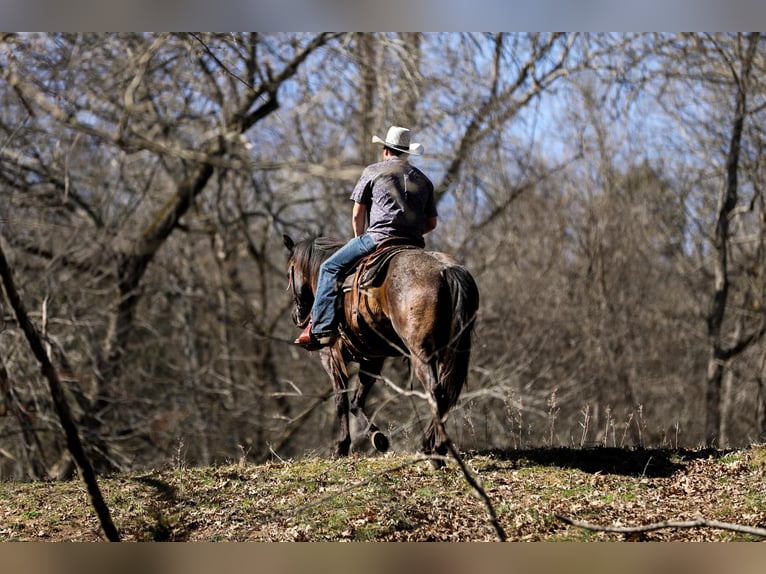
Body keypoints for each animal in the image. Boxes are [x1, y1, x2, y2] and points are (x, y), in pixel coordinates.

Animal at [283, 234, 479, 466]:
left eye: (289, 272)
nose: (296, 316)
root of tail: (445, 269)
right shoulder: (372, 359)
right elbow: (357, 401)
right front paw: (378, 438)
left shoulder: (331, 356)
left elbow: (340, 400)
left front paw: (341, 447)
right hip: (447, 351)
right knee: (446, 393)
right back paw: (437, 448)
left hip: (421, 352)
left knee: (436, 391)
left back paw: (429, 449)